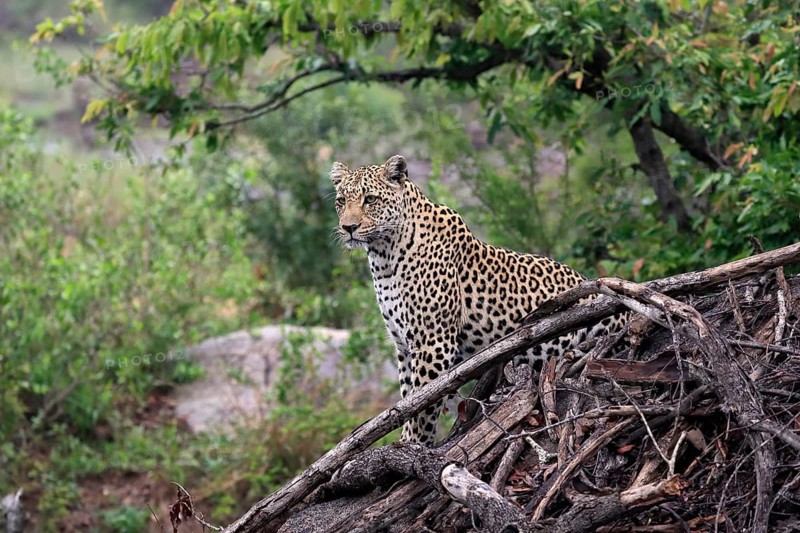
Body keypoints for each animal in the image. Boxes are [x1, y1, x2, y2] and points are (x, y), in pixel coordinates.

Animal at [331, 155, 626, 446]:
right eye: (341, 201)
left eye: (370, 199)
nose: (349, 228)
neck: (383, 255)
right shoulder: (404, 346)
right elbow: (407, 399)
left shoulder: (433, 342)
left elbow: (421, 406)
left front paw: (412, 445)